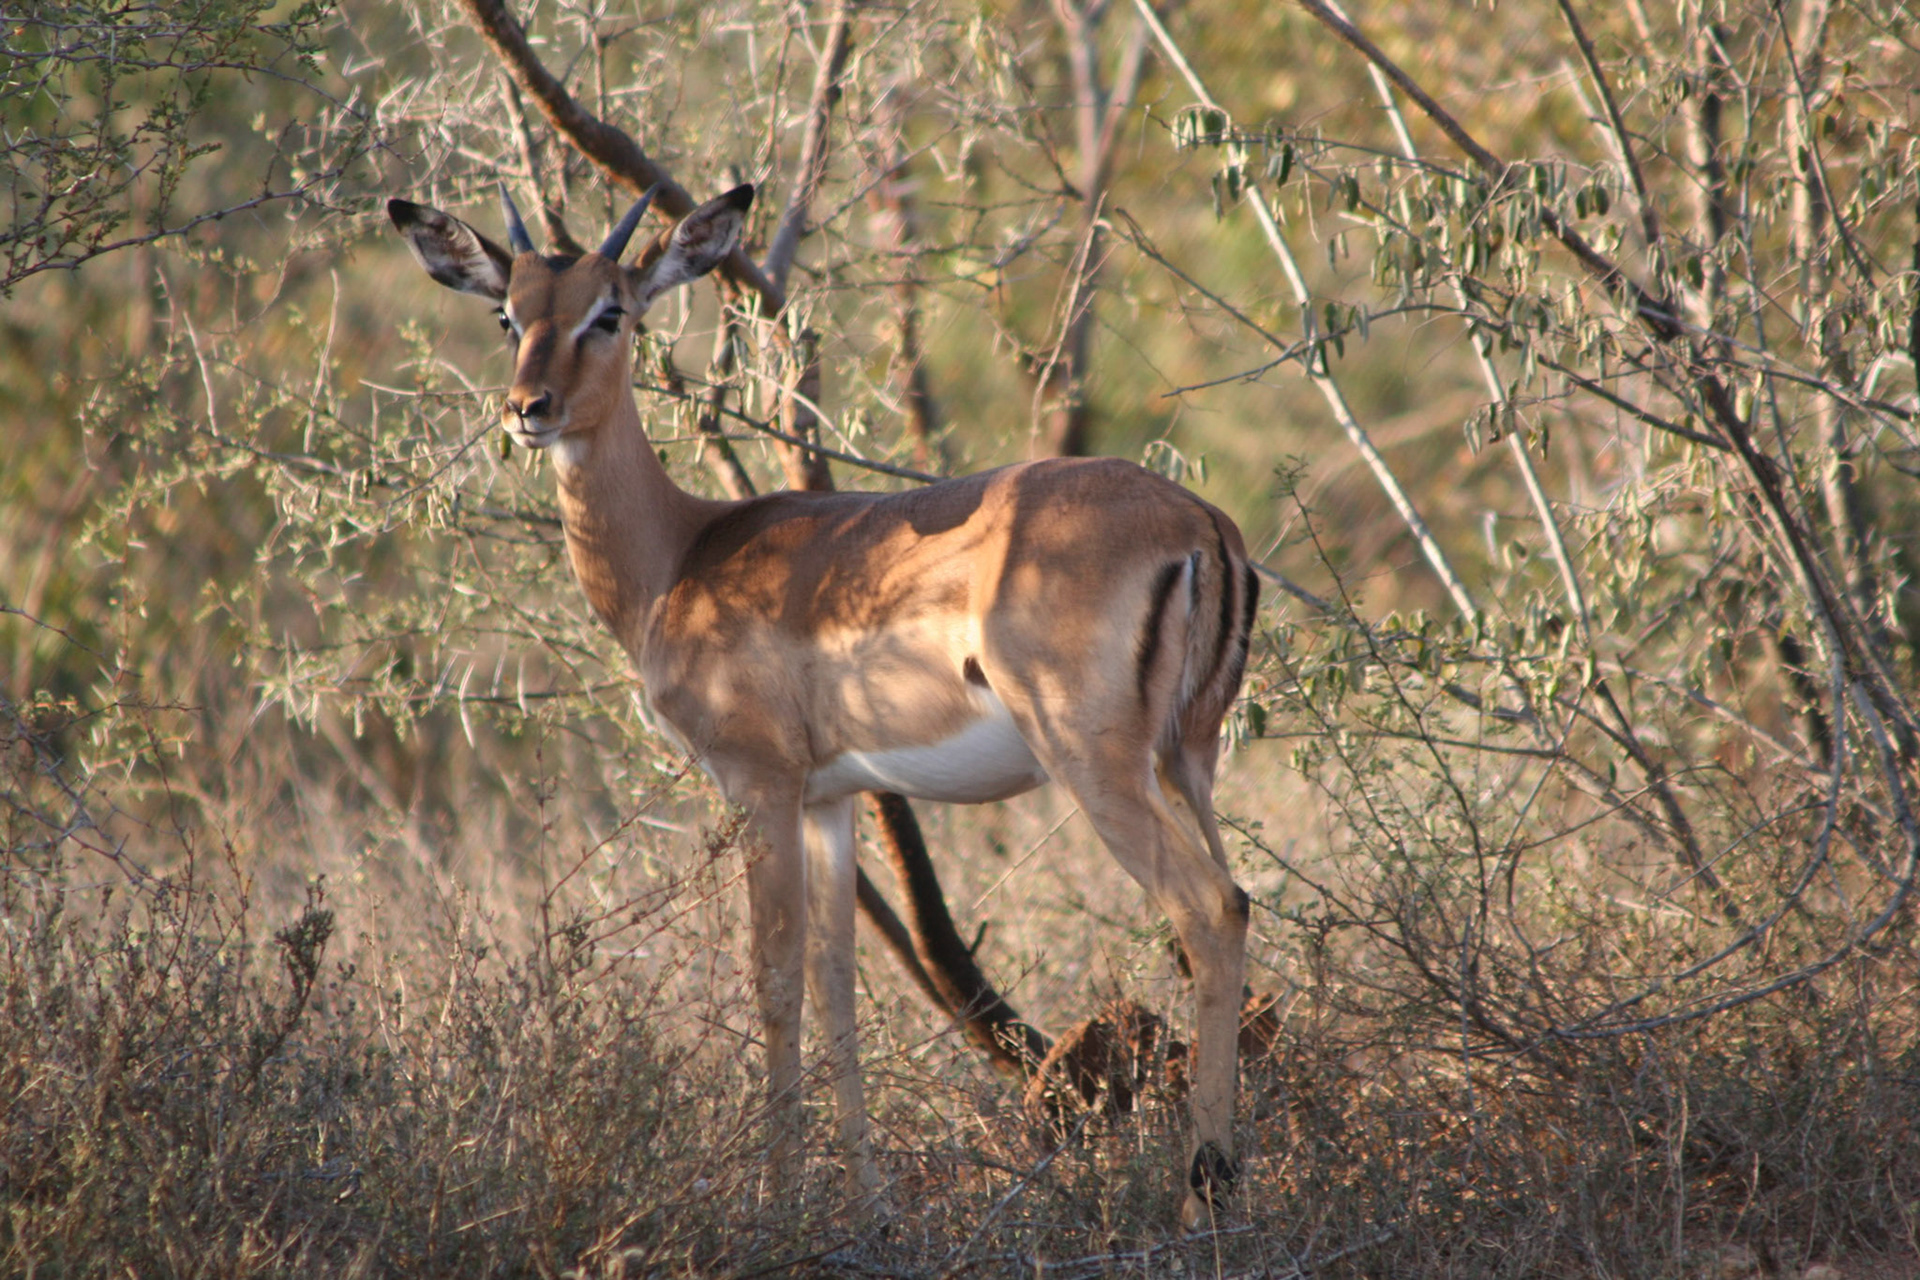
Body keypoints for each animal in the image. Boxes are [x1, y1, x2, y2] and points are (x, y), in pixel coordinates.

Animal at [387, 182, 1257, 1226]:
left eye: (612, 312)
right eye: (509, 315)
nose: (529, 409)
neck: (677, 558)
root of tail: (1199, 522)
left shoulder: (758, 783)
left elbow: (775, 976)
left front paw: (776, 1197)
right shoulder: (832, 799)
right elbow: (839, 980)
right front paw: (866, 1198)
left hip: (1097, 764)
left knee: (1205, 909)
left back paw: (1204, 1189)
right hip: (1190, 761)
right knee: (1241, 903)